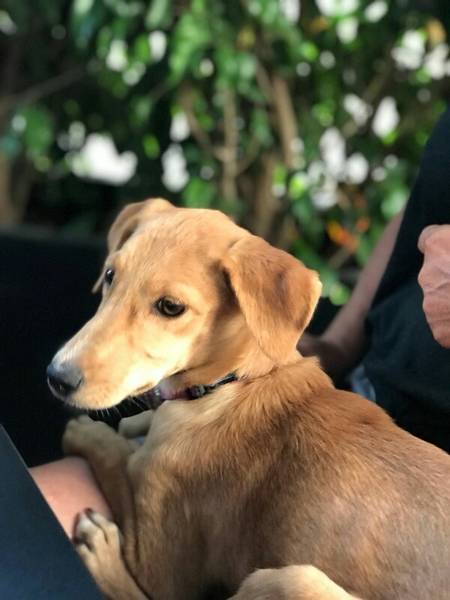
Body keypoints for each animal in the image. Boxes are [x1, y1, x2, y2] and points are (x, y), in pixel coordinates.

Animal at [47, 198, 450, 599]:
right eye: (110, 274)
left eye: (171, 307)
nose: (57, 377)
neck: (236, 383)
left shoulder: (161, 576)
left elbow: (117, 461)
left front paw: (92, 434)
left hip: (283, 578)